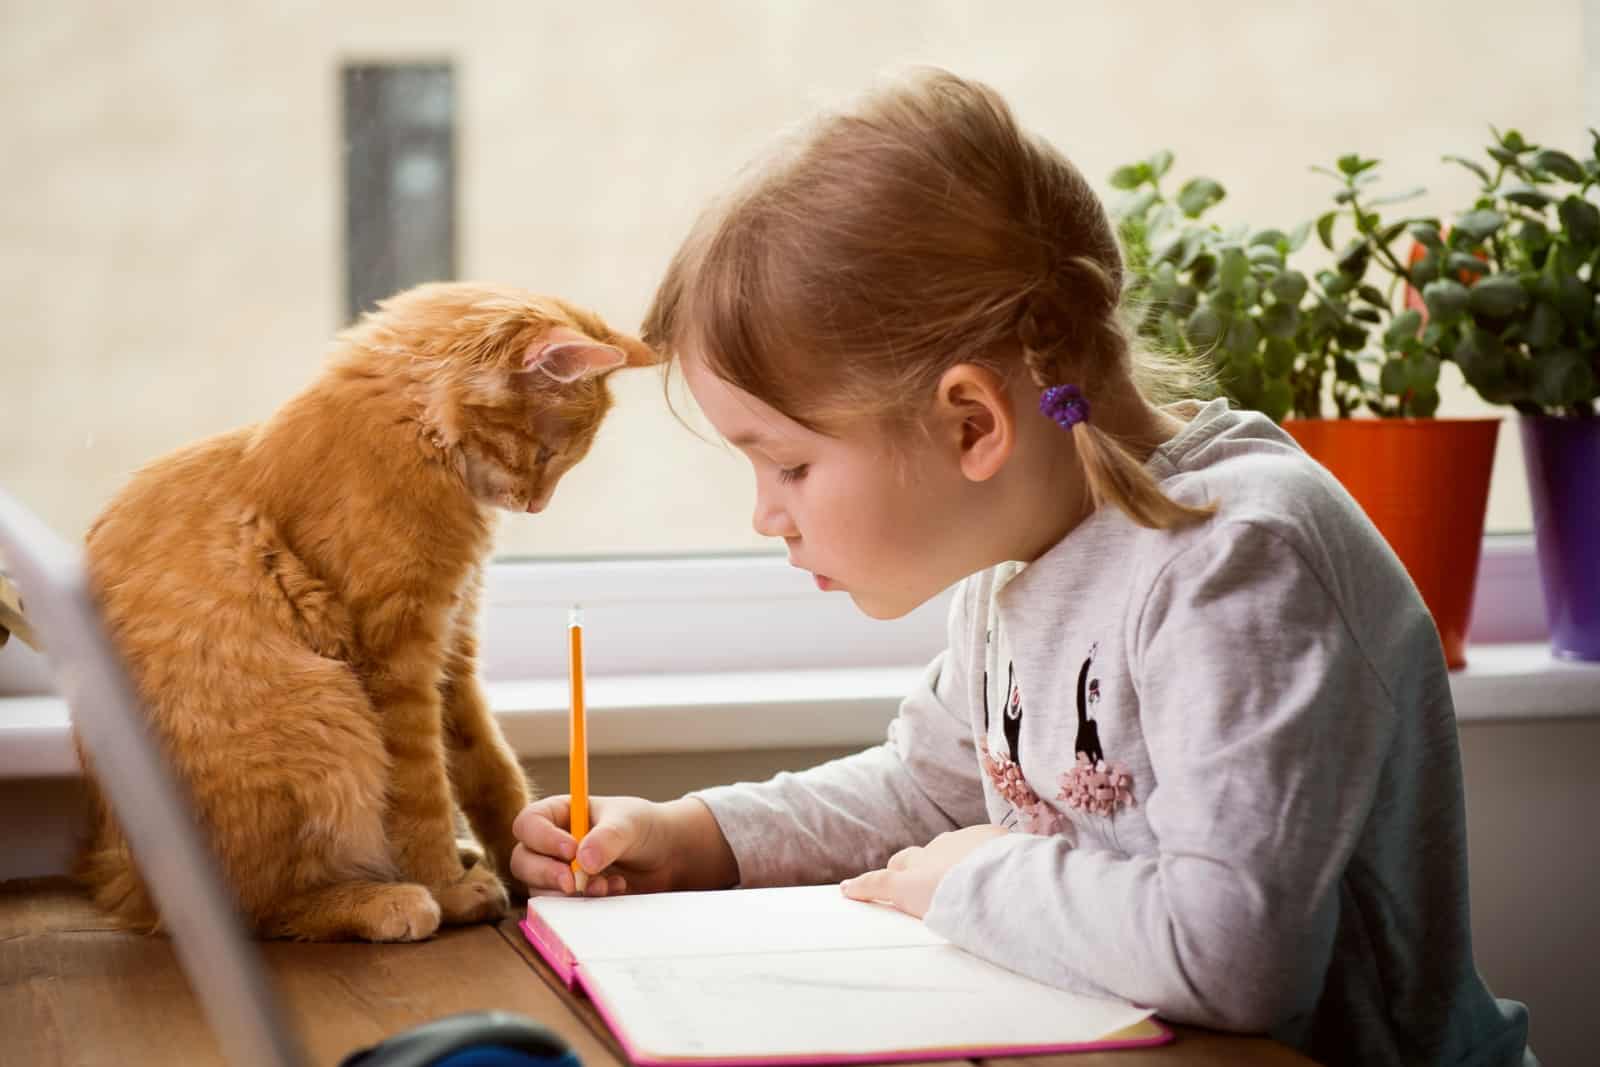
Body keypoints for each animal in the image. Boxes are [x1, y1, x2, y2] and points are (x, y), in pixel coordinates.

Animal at [78, 283, 652, 940]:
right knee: (262, 907)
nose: (536, 505)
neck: (419, 438)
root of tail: (131, 883)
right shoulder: (396, 661)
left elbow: (490, 772)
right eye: (546, 453)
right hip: (325, 711)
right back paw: (388, 900)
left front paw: (536, 859)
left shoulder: (451, 652)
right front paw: (448, 887)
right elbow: (422, 793)